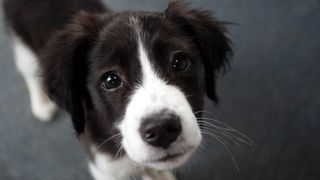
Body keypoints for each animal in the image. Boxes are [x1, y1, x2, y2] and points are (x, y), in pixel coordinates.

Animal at [3, 0, 232, 180]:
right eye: (111, 80)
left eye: (179, 62)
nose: (161, 130)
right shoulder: (104, 166)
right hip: (22, 44)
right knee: (29, 72)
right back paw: (41, 104)